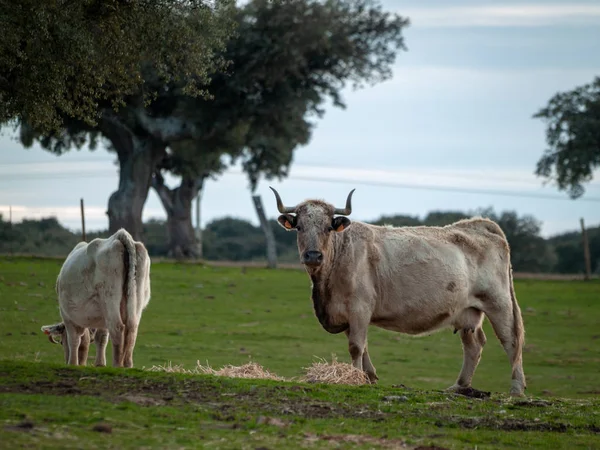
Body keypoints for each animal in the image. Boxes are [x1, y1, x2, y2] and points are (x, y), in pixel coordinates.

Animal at [43, 230, 151, 368]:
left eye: (62, 342)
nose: (66, 360)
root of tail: (119, 236)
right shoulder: (102, 318)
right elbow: (101, 338)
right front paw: (100, 364)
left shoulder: (67, 315)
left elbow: (74, 340)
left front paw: (73, 363)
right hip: (135, 299)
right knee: (132, 327)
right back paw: (127, 364)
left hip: (109, 298)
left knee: (117, 327)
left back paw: (117, 365)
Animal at [270, 188, 528, 396]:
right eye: (300, 227)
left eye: (327, 228)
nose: (313, 255)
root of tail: (478, 224)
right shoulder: (347, 314)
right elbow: (363, 347)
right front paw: (369, 377)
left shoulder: (360, 308)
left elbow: (356, 346)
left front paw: (355, 379)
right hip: (467, 311)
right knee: (473, 345)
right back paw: (459, 386)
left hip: (499, 303)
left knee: (511, 341)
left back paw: (516, 389)